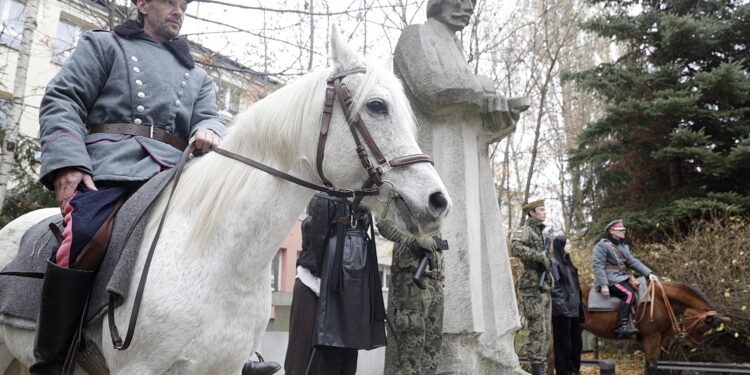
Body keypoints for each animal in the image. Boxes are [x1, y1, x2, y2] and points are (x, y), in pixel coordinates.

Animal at [580, 284, 736, 374]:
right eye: (701, 328)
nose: (689, 346)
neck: (660, 300)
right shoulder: (651, 337)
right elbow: (652, 366)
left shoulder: (659, 339)